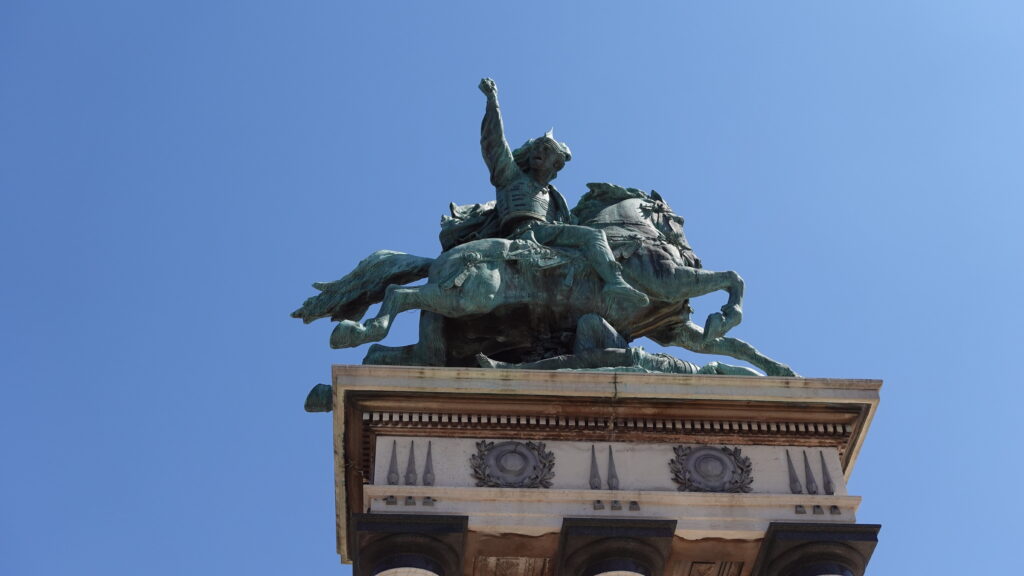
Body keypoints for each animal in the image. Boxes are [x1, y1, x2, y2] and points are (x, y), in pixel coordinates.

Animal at [292, 181, 794, 375]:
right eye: (678, 220)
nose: (691, 251)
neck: (627, 234)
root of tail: (447, 255)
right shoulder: (671, 281)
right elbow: (732, 278)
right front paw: (725, 314)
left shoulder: (672, 328)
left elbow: (734, 345)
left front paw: (779, 369)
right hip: (470, 296)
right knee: (399, 293)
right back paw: (356, 329)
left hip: (459, 322)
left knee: (409, 345)